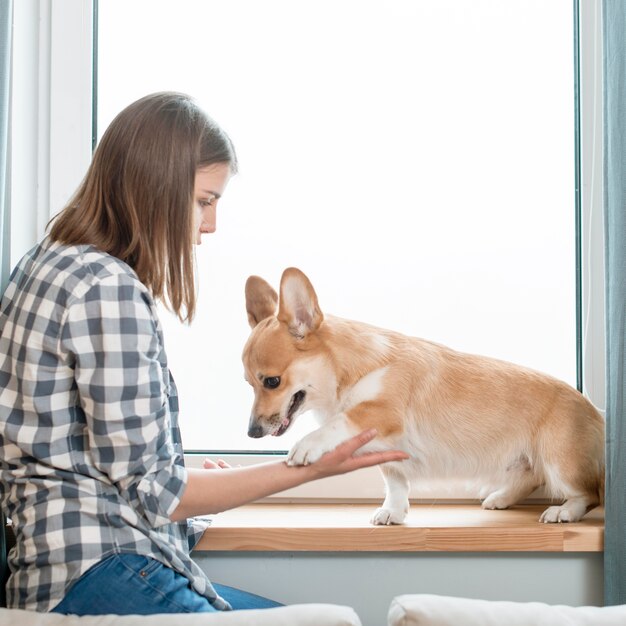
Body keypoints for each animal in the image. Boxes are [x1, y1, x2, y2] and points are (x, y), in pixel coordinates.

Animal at [241, 264, 604, 520]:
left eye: (271, 381)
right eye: (248, 383)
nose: (252, 433)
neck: (346, 373)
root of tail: (596, 412)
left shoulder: (382, 412)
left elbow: (340, 421)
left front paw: (308, 445)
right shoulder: (389, 451)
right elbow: (395, 480)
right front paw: (393, 512)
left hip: (559, 460)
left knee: (589, 494)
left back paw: (563, 512)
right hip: (527, 460)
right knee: (532, 477)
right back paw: (500, 498)